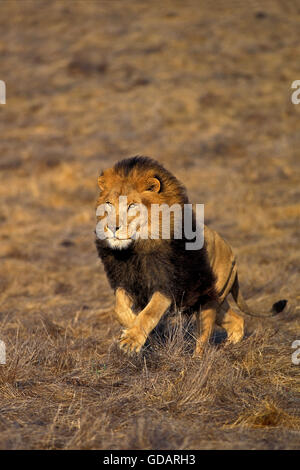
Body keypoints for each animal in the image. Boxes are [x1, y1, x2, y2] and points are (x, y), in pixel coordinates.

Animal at [95, 155, 288, 356]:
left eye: (132, 205)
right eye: (109, 204)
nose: (112, 228)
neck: (136, 249)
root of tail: (232, 255)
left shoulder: (168, 284)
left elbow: (150, 312)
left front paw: (131, 339)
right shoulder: (124, 281)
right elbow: (119, 308)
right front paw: (131, 326)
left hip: (209, 300)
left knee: (203, 338)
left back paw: (200, 358)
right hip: (217, 302)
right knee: (237, 321)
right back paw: (227, 347)